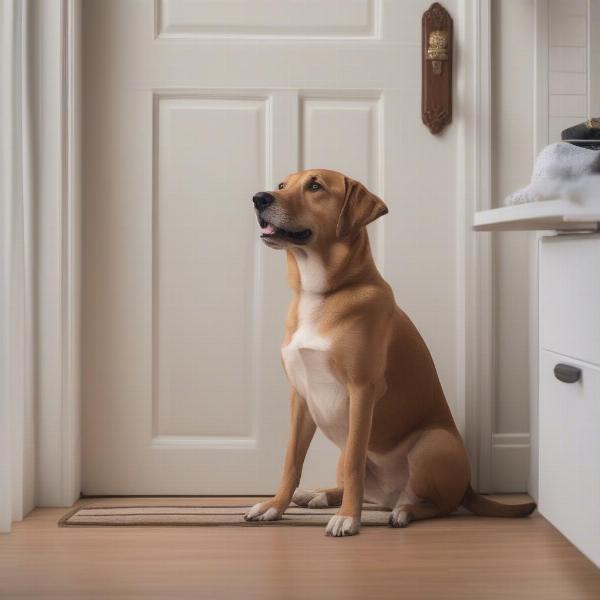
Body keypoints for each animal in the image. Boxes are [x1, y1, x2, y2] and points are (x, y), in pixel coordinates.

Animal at [244, 170, 536, 540]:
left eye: (315, 186)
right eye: (282, 185)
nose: (259, 198)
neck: (322, 292)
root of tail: (469, 486)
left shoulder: (361, 392)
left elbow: (355, 463)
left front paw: (348, 518)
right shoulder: (300, 397)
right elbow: (290, 461)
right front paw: (274, 506)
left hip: (432, 444)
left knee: (437, 505)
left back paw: (403, 512)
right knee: (368, 492)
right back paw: (319, 495)